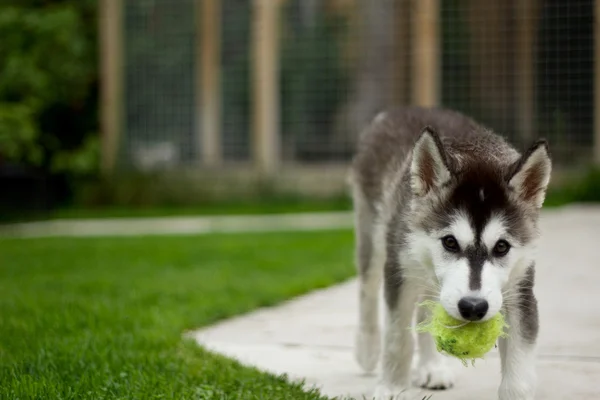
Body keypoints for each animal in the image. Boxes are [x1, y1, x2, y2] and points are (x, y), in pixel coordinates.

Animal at [350, 107, 552, 400]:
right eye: (450, 242)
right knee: (367, 289)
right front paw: (392, 388)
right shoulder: (400, 273)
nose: (473, 307)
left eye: (502, 246)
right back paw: (367, 348)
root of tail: (403, 109)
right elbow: (398, 338)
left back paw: (431, 367)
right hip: (374, 235)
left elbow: (519, 374)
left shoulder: (520, 288)